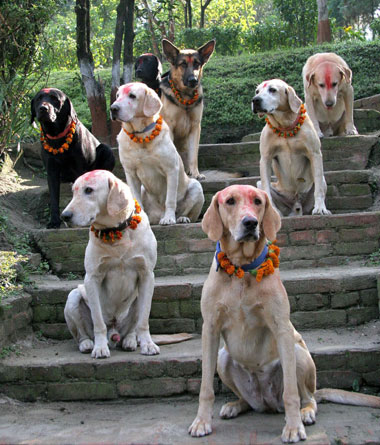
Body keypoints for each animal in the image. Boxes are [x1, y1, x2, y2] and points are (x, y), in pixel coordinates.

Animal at [30, 89, 114, 231]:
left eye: (55, 99)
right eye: (38, 99)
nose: (43, 108)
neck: (57, 137)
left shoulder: (80, 166)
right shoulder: (51, 171)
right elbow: (54, 198)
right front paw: (54, 221)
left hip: (107, 150)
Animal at [60, 169, 159, 358]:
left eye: (89, 190)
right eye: (74, 192)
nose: (65, 216)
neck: (116, 232)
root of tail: (114, 333)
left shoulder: (147, 276)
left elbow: (143, 320)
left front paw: (148, 344)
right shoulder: (92, 278)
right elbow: (98, 322)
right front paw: (100, 348)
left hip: (136, 299)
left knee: (132, 327)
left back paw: (130, 341)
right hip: (73, 298)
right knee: (82, 334)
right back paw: (88, 344)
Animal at [110, 81, 205, 224]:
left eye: (132, 96)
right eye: (117, 95)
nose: (113, 108)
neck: (141, 136)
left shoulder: (171, 169)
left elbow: (170, 199)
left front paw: (169, 218)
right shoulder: (131, 174)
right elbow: (137, 200)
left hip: (196, 187)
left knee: (190, 213)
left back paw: (182, 218)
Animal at [159, 38, 215, 180]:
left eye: (197, 64)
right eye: (183, 64)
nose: (193, 80)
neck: (185, 98)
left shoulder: (195, 127)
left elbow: (193, 155)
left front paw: (196, 174)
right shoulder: (170, 126)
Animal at [252, 78, 330, 217]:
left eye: (272, 90)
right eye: (257, 91)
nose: (255, 100)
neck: (284, 125)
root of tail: (296, 205)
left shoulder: (314, 153)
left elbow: (319, 189)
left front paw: (320, 208)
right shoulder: (265, 158)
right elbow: (266, 189)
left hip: (321, 181)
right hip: (262, 184)